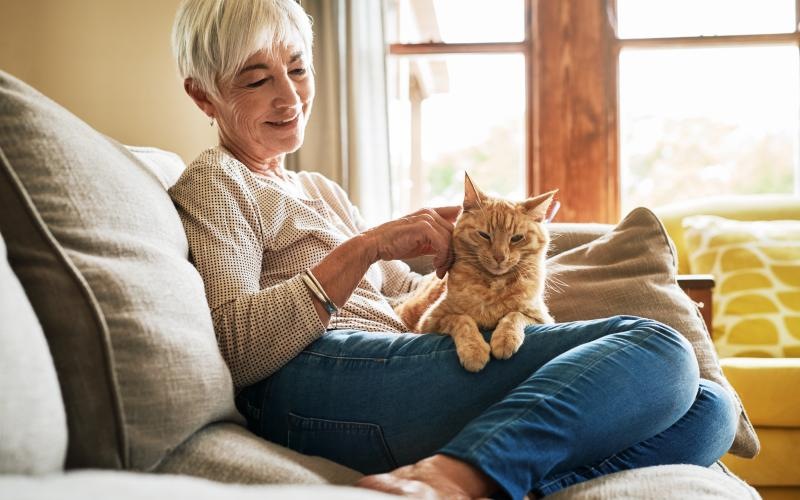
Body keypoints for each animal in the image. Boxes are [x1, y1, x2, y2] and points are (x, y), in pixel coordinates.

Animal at [396, 175, 556, 372]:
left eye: (517, 238)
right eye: (484, 235)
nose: (499, 257)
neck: (493, 285)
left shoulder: (542, 318)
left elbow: (514, 315)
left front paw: (505, 338)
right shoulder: (430, 322)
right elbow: (462, 319)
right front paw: (474, 351)